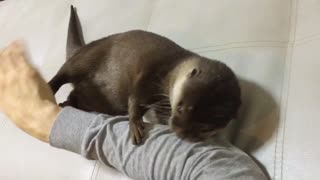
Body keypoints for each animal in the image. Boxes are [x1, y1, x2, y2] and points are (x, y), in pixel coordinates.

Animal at [49, 5, 240, 145]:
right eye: (180, 108)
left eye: (206, 129)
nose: (180, 132)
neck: (169, 72)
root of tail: (84, 47)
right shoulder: (150, 73)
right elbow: (136, 98)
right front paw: (135, 124)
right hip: (85, 58)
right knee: (63, 74)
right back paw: (49, 88)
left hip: (94, 99)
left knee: (75, 96)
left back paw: (65, 104)